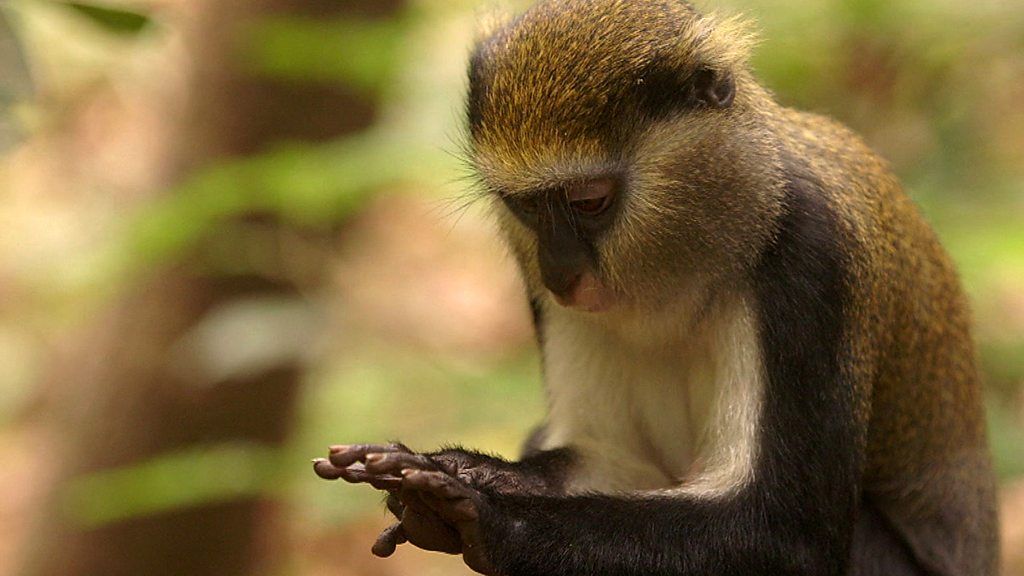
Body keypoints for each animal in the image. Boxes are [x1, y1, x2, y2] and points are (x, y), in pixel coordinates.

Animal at [311, 1, 999, 573]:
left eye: (589, 202)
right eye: (527, 207)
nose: (559, 273)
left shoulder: (812, 258)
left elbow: (781, 532)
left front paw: (488, 516)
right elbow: (610, 455)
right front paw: (469, 469)